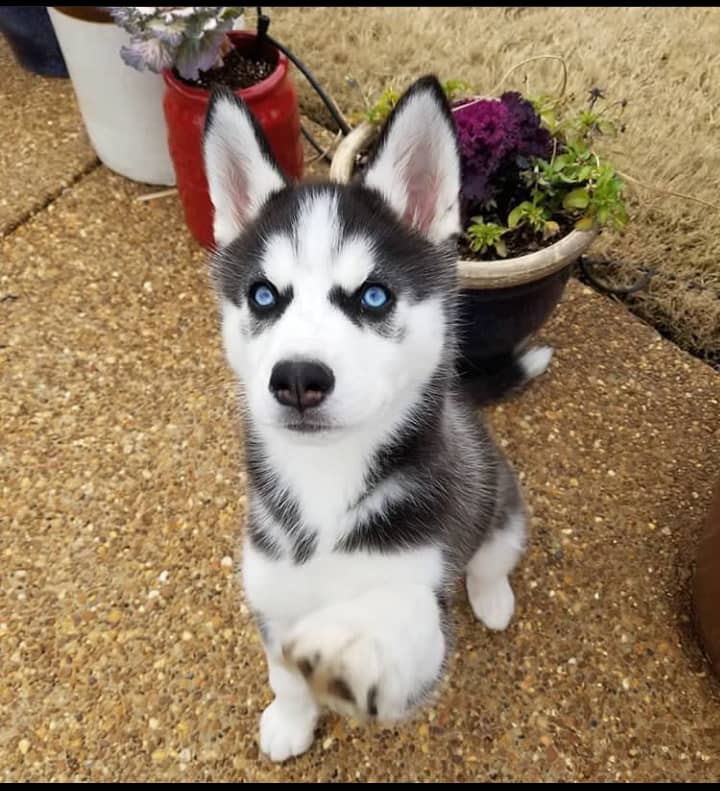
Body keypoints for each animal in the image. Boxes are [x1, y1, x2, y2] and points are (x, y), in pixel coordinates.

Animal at [202, 77, 540, 764]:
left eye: (374, 296)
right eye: (263, 296)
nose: (298, 378)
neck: (325, 483)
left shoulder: (423, 604)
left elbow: (398, 623)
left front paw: (353, 644)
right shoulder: (270, 595)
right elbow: (283, 674)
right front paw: (290, 719)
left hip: (504, 504)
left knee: (492, 557)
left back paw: (492, 597)